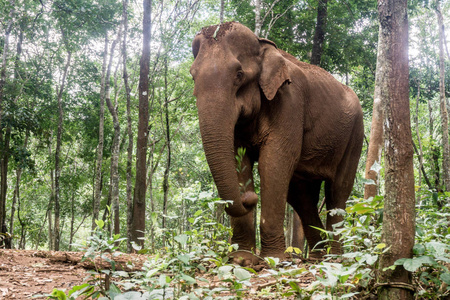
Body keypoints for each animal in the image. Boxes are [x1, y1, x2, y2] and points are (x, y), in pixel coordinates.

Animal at [189, 21, 362, 262]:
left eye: (239, 74)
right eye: (192, 77)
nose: (249, 198)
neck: (263, 46)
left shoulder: (290, 101)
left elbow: (273, 163)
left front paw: (274, 258)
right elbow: (239, 162)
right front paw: (242, 259)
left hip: (355, 134)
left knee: (338, 190)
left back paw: (333, 257)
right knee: (301, 197)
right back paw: (317, 257)